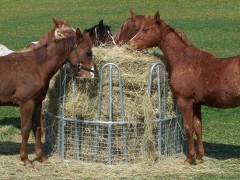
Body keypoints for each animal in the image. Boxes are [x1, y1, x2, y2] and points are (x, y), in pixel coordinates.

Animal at [0, 27, 94, 167]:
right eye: (88, 52)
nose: (91, 76)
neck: (36, 67)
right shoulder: (26, 103)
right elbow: (26, 129)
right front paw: (26, 159)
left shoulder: (37, 102)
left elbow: (37, 128)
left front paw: (41, 157)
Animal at [129, 11, 240, 165]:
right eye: (137, 29)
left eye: (145, 29)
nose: (130, 45)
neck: (184, 60)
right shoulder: (196, 103)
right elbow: (198, 127)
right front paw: (199, 156)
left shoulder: (185, 101)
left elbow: (188, 128)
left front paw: (189, 158)